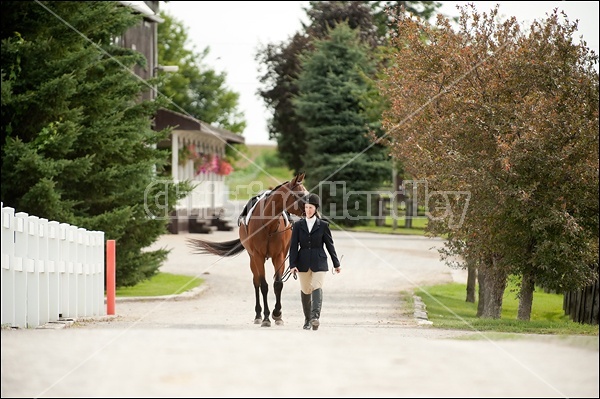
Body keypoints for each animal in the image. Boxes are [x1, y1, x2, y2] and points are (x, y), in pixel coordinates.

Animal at [188, 173, 310, 326]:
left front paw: (277, 314)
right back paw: (258, 315)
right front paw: (266, 317)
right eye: (300, 194)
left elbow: (278, 284)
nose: (312, 209)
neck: (269, 225)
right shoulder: (258, 256)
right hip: (252, 259)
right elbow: (263, 285)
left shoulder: (279, 256)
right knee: (256, 282)